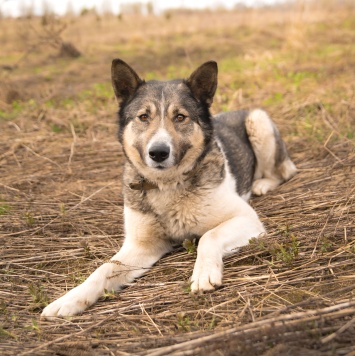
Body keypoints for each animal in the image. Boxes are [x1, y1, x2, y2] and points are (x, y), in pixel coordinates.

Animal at [41, 59, 298, 318]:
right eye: (144, 116)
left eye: (180, 117)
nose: (158, 152)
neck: (167, 185)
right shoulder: (141, 246)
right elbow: (104, 269)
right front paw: (70, 298)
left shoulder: (245, 218)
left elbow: (209, 236)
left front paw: (204, 273)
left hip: (258, 122)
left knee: (285, 171)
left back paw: (261, 184)